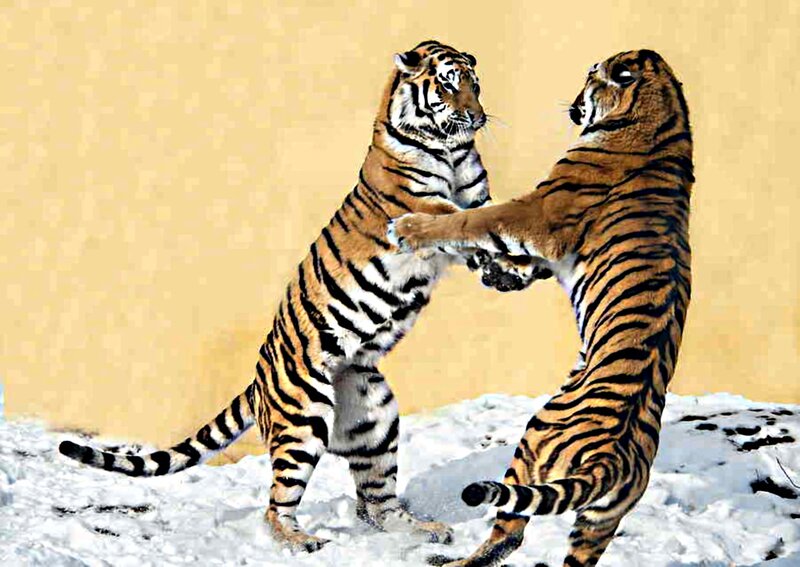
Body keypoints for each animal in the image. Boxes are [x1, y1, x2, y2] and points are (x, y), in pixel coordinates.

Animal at [58, 40, 493, 552]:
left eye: (475, 85)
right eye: (447, 85)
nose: (478, 118)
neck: (450, 149)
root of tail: (258, 380)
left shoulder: (476, 194)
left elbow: (491, 217)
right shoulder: (423, 207)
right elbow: (468, 219)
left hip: (375, 417)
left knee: (376, 503)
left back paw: (423, 530)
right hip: (304, 418)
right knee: (277, 504)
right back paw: (300, 540)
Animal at [389, 49, 693, 566]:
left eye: (589, 78)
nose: (571, 105)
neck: (664, 111)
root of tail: (611, 461)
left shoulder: (541, 212)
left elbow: (473, 219)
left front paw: (410, 227)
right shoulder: (552, 240)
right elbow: (516, 256)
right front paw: (500, 274)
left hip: (533, 439)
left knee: (507, 531)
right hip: (598, 522)